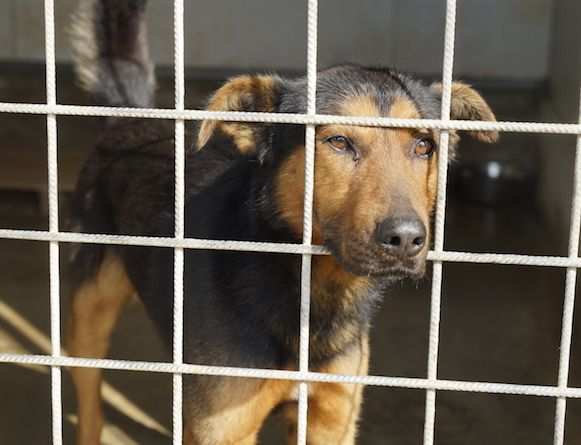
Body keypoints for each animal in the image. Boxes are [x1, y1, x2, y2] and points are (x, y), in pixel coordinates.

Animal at [64, 0, 498, 440]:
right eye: (338, 141)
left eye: (424, 145)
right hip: (89, 312)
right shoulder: (222, 427)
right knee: (91, 404)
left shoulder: (330, 420)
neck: (311, 291)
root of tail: (131, 115)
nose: (406, 239)